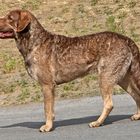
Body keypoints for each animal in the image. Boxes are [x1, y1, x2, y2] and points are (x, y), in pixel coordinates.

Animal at [0, 9, 140, 132]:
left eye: (10, 18)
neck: (33, 42)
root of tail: (125, 39)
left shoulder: (47, 85)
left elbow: (47, 109)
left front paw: (47, 127)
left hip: (106, 78)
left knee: (109, 104)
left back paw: (97, 122)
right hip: (122, 78)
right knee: (136, 95)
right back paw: (137, 116)